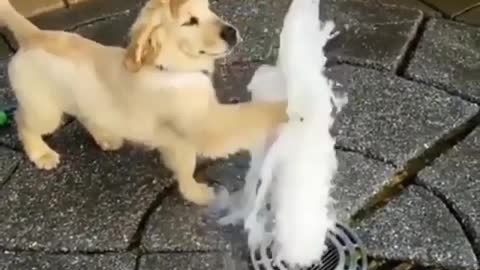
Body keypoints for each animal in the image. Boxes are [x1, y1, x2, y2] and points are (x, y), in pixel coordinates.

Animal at [0, 0, 284, 205]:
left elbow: (183, 164)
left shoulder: (179, 139)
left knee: (85, 114)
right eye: (190, 21)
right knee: (23, 121)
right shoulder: (204, 126)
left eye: (209, 9)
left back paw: (105, 137)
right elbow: (245, 118)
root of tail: (33, 36)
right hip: (44, 110)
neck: (170, 68)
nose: (231, 32)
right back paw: (41, 153)